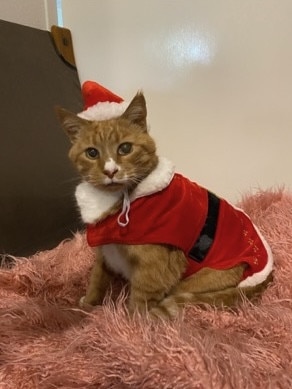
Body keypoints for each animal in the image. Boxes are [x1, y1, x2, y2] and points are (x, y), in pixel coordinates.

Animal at [56, 91, 272, 318]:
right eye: (92, 153)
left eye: (125, 148)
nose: (110, 171)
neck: (118, 204)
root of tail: (263, 281)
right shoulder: (104, 251)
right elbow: (96, 279)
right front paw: (88, 305)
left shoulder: (153, 267)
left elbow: (139, 302)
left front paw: (129, 324)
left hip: (190, 283)